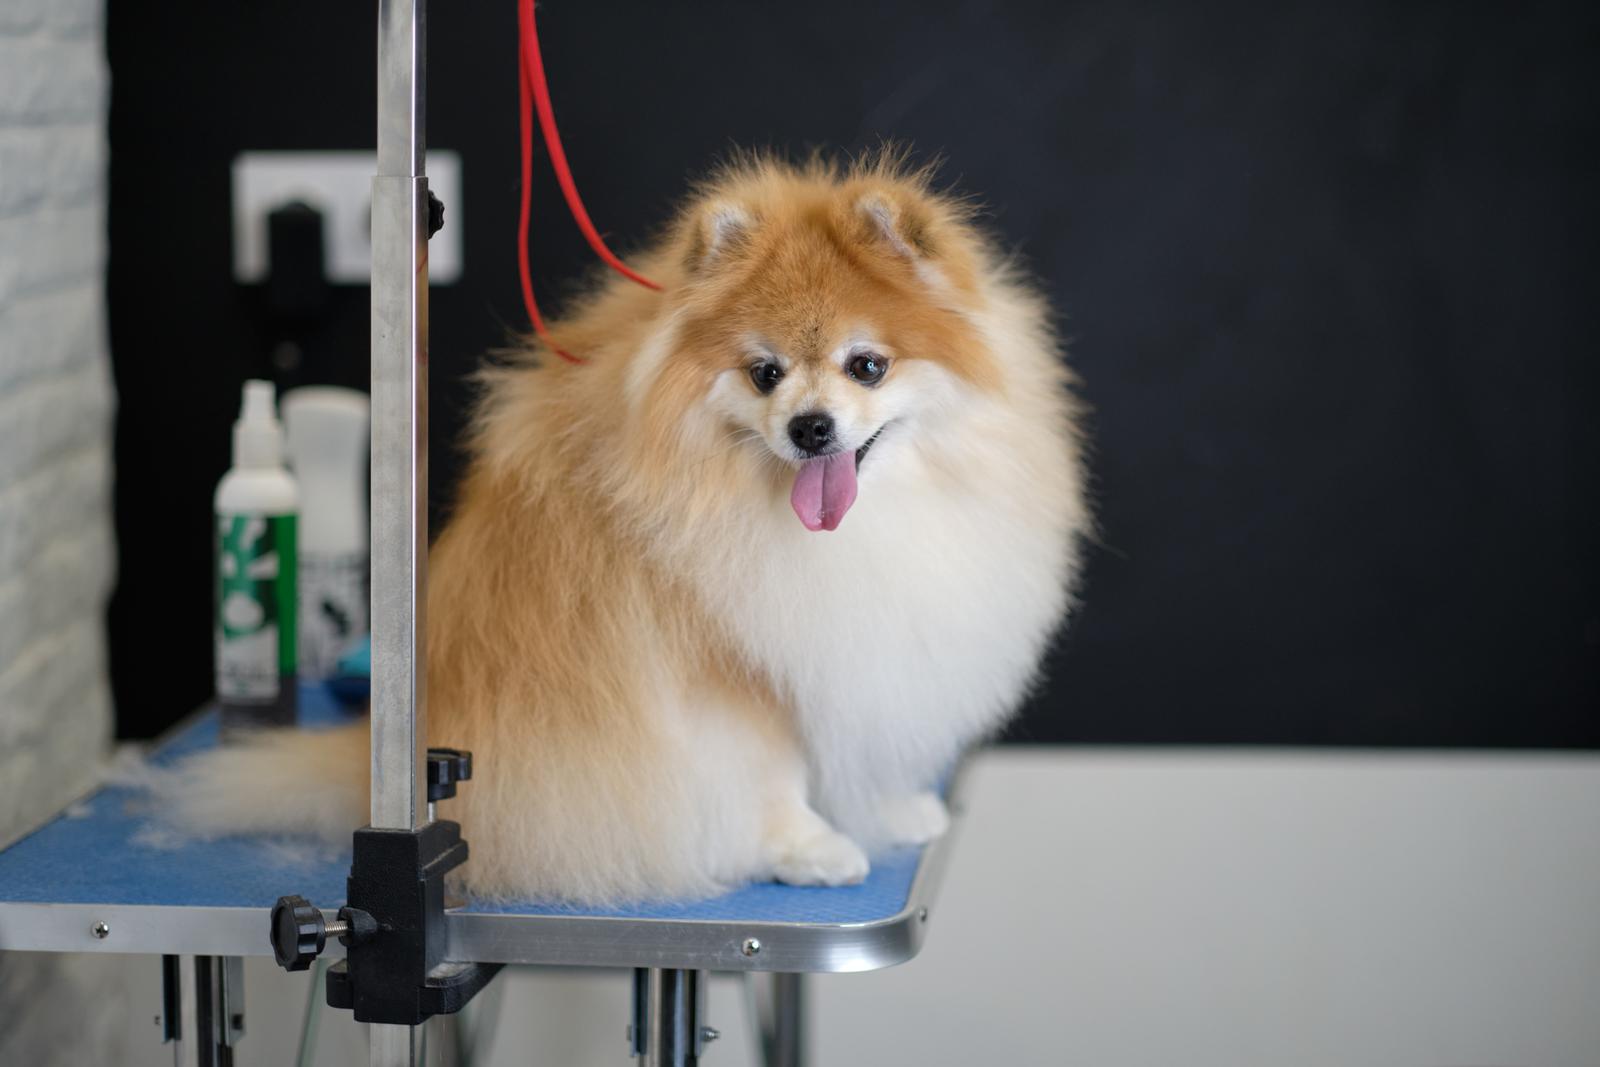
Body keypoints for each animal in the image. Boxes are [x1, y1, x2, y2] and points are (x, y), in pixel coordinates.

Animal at [168, 151, 1094, 902]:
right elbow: (768, 767)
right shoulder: (721, 664)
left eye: (867, 365)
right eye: (764, 374)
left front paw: (890, 809)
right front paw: (807, 846)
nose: (810, 427)